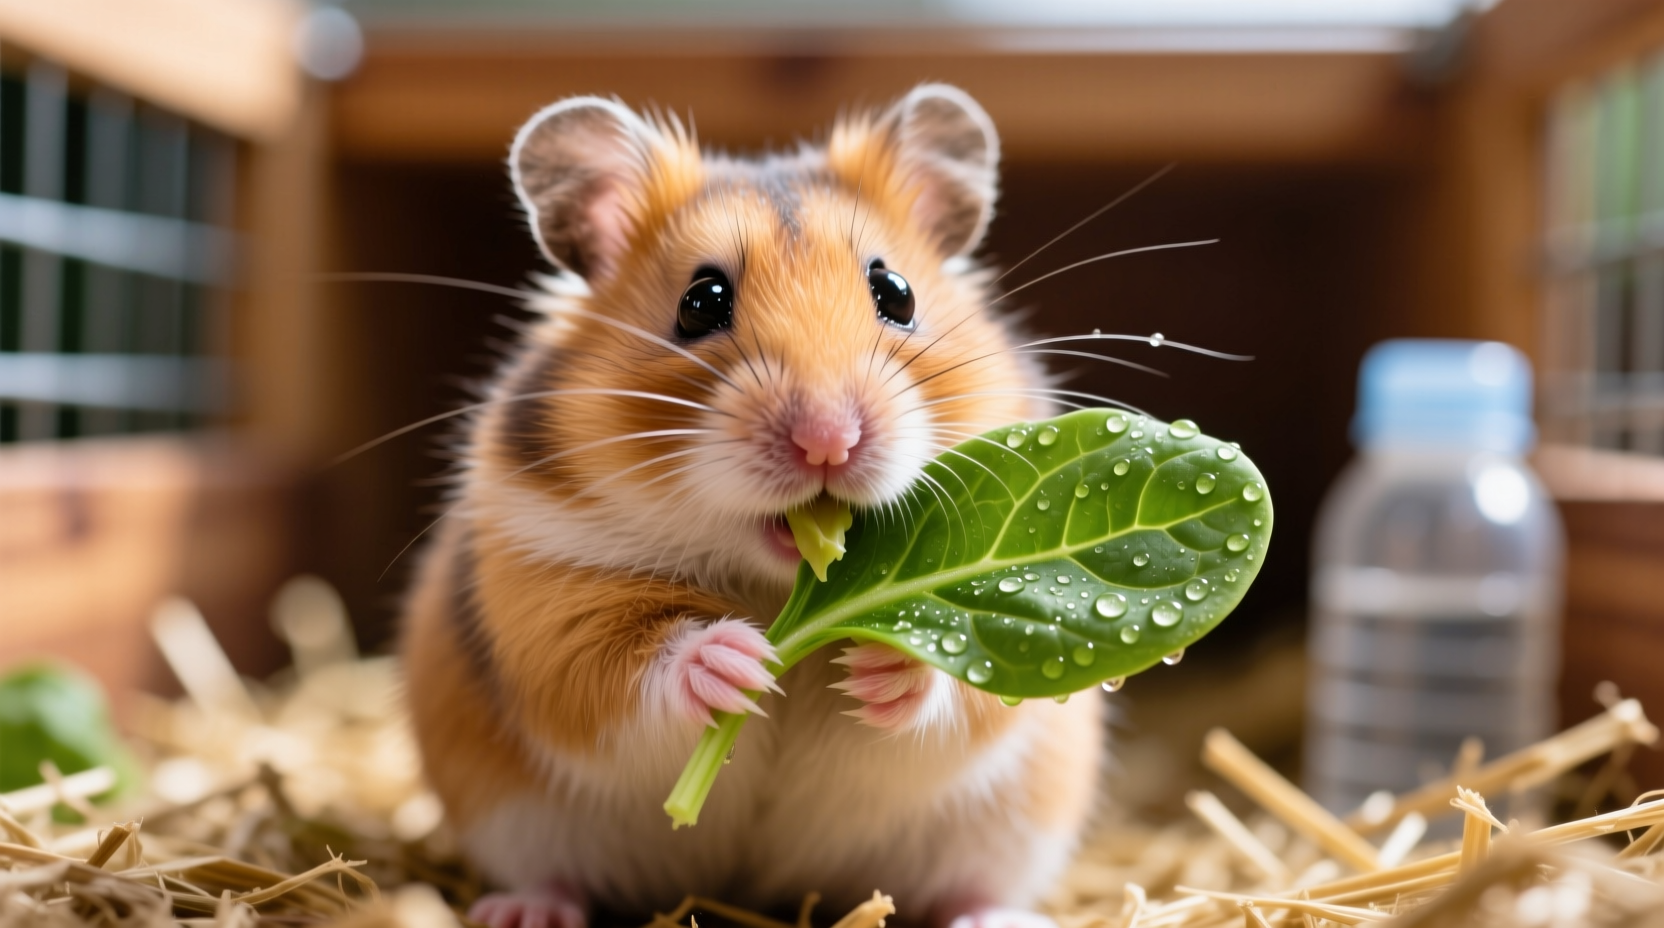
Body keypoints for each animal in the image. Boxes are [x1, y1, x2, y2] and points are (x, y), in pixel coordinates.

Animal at [401, 84, 1103, 928]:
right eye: (700, 303)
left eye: (896, 293)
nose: (828, 441)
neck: (781, 586)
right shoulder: (544, 589)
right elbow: (617, 664)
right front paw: (738, 662)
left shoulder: (1016, 675)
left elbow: (965, 691)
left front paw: (881, 664)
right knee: (549, 872)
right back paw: (526, 912)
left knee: (977, 885)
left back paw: (991, 916)